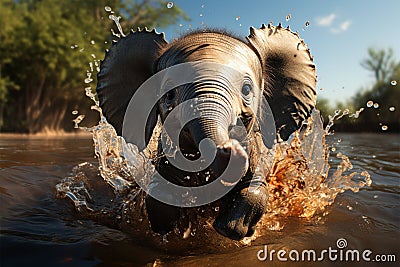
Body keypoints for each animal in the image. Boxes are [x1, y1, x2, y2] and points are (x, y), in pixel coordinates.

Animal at [96, 23, 316, 241]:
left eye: (246, 89)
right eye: (169, 94)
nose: (230, 147)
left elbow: (255, 190)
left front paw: (229, 228)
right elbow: (160, 194)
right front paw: (176, 227)